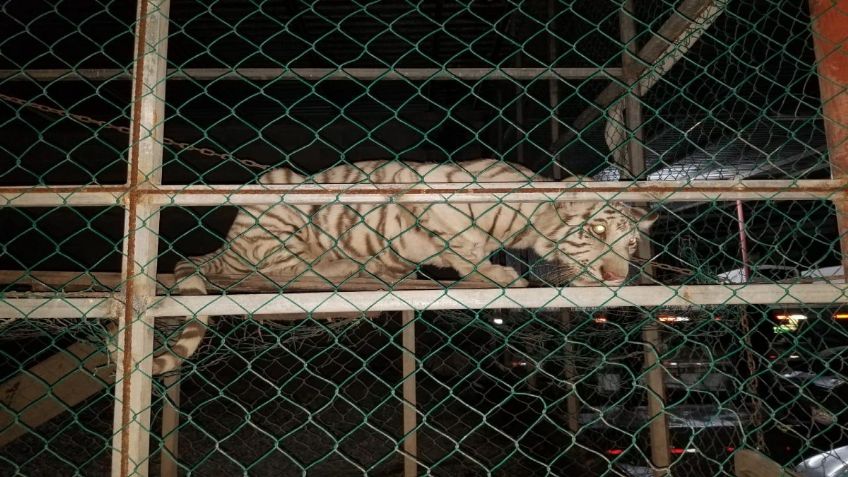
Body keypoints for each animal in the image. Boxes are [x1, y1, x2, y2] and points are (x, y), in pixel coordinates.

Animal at [152, 158, 656, 374]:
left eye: (632, 244)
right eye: (596, 231)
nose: (616, 277)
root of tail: (225, 244)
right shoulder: (427, 191)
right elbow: (464, 243)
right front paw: (494, 273)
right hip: (278, 200)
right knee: (276, 265)